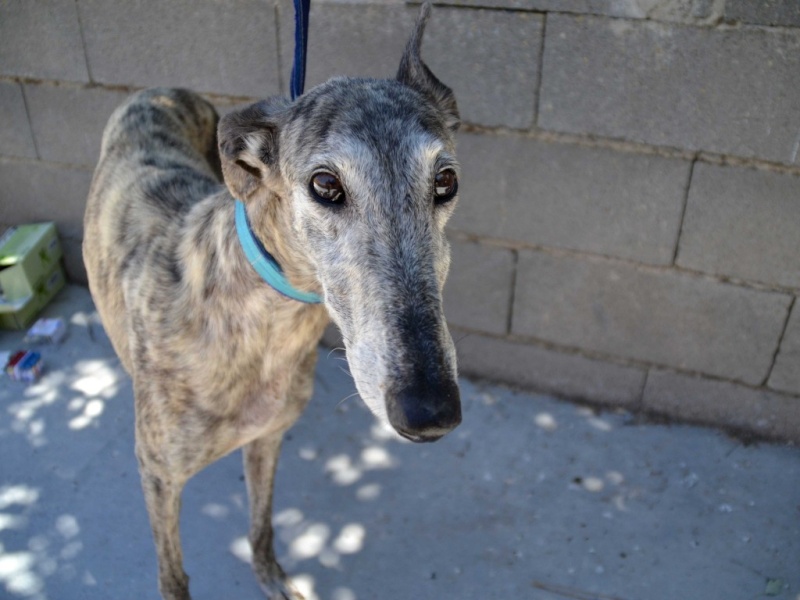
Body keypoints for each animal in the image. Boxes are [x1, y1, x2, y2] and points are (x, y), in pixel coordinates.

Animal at [83, 2, 462, 596]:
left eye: (446, 182)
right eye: (325, 185)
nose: (431, 413)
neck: (259, 320)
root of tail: (159, 89)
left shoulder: (267, 439)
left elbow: (261, 523)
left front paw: (272, 577)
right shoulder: (158, 475)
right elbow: (173, 575)